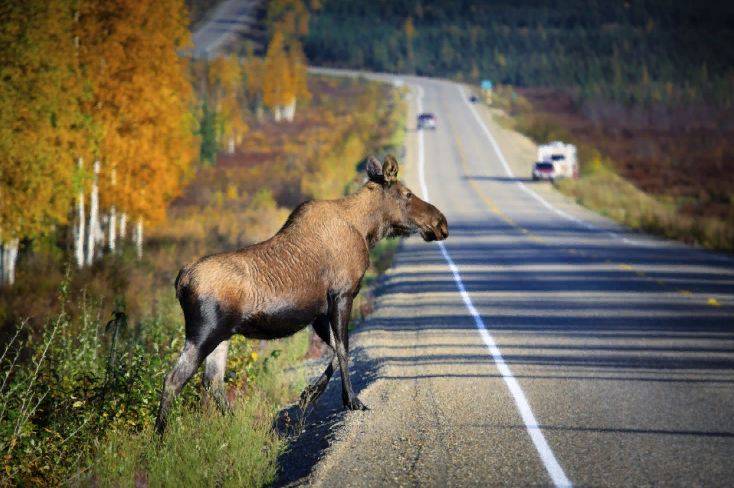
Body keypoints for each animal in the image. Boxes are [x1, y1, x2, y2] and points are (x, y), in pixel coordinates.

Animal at [155, 154, 448, 432]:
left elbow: (336, 349)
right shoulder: (342, 295)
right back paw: (160, 438)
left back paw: (234, 426)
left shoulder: (319, 312)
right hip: (204, 332)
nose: (441, 223)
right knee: (173, 380)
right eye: (407, 194)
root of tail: (181, 280)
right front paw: (351, 400)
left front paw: (309, 394)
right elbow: (344, 349)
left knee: (212, 381)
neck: (367, 231)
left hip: (222, 335)